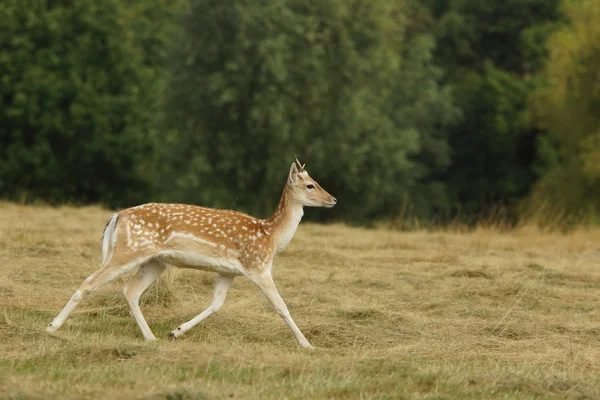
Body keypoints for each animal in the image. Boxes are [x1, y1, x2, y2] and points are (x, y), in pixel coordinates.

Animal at [45, 160, 338, 350]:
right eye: (310, 185)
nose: (333, 199)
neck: (271, 237)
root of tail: (118, 216)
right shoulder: (258, 266)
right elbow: (281, 306)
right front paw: (307, 344)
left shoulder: (227, 272)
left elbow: (216, 304)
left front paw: (176, 332)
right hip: (128, 250)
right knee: (90, 282)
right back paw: (52, 326)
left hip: (155, 262)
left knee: (130, 291)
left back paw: (151, 338)